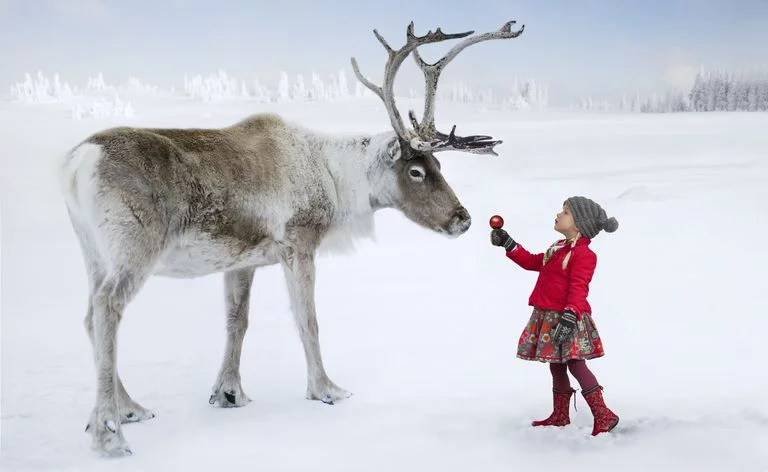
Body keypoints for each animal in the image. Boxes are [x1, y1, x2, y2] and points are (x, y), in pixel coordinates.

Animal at [58, 20, 524, 457]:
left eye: (439, 167)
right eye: (416, 171)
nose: (464, 219)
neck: (336, 181)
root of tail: (77, 162)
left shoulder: (242, 260)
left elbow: (237, 322)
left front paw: (229, 393)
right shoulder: (299, 244)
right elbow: (308, 320)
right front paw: (326, 389)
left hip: (92, 250)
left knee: (89, 314)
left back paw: (129, 409)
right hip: (134, 248)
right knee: (108, 307)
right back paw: (109, 433)